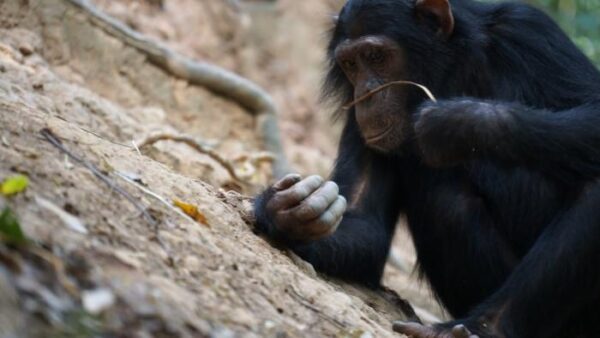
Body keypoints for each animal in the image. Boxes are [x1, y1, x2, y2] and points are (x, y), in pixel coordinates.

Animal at [255, 0, 600, 336]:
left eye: (375, 56)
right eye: (351, 64)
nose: (366, 93)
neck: (452, 67)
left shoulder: (528, 31)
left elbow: (592, 107)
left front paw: (457, 123)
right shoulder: (359, 118)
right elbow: (364, 222)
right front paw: (288, 214)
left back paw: (484, 327)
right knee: (445, 195)